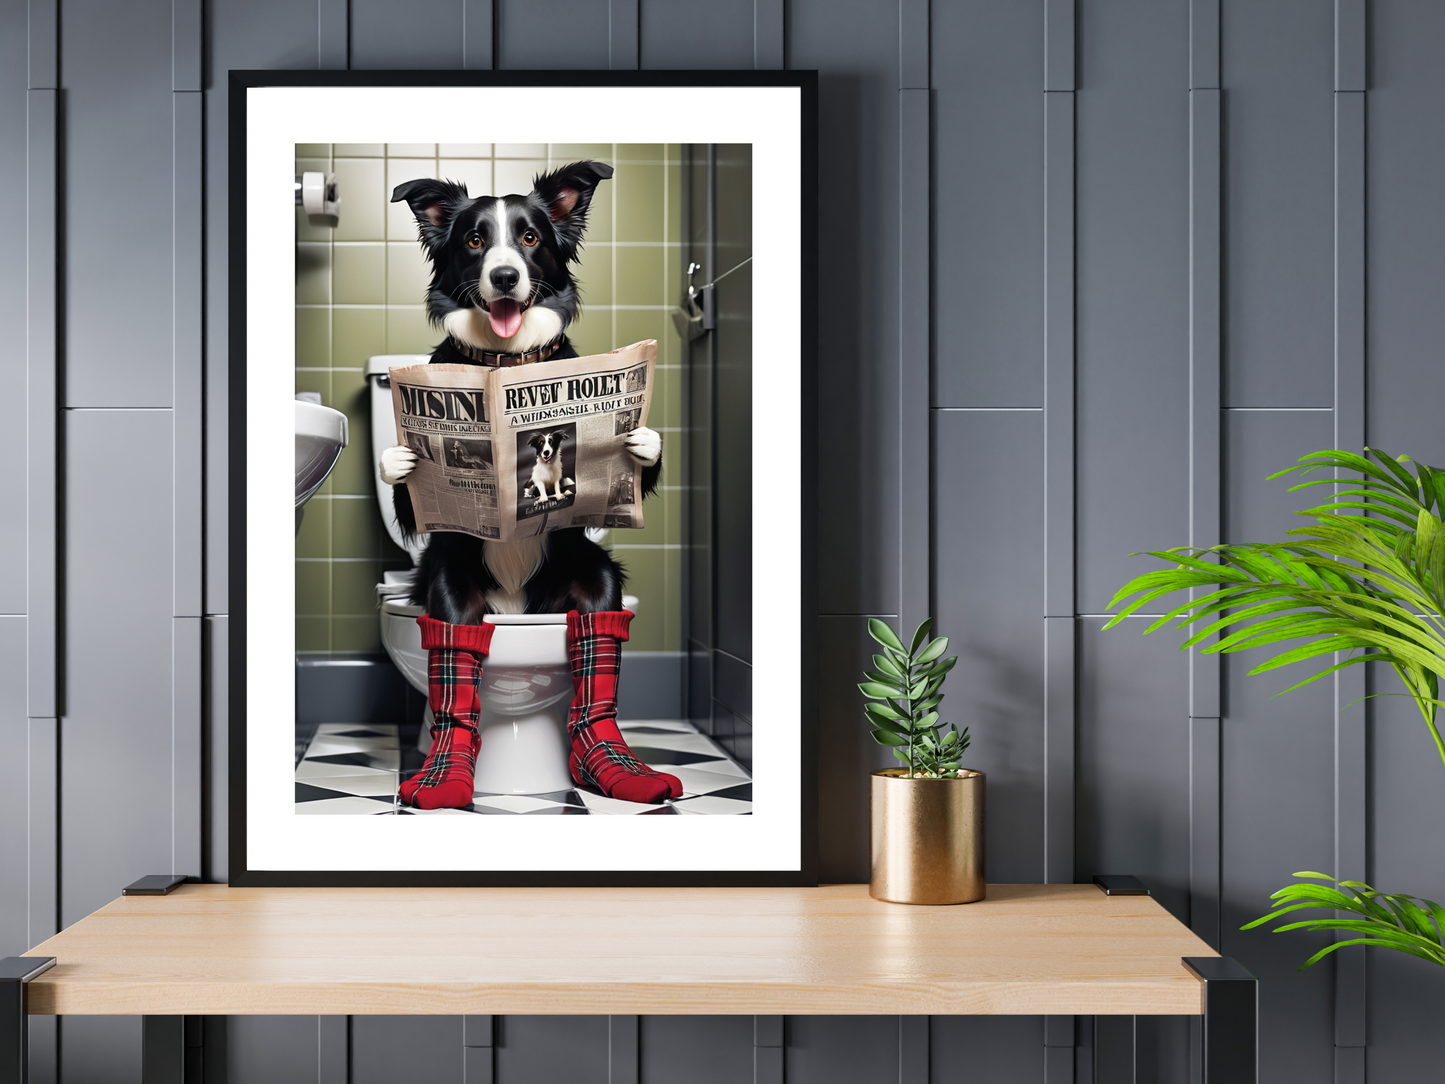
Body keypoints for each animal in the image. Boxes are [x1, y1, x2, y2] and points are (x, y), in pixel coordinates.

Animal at [381, 158, 679, 809]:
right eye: (474, 240)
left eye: (529, 237)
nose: (504, 275)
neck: (504, 364)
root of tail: (516, 610)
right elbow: (408, 495)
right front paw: (401, 457)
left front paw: (640, 440)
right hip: (453, 585)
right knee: (455, 637)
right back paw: (446, 772)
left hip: (588, 577)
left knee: (597, 623)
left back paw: (612, 763)